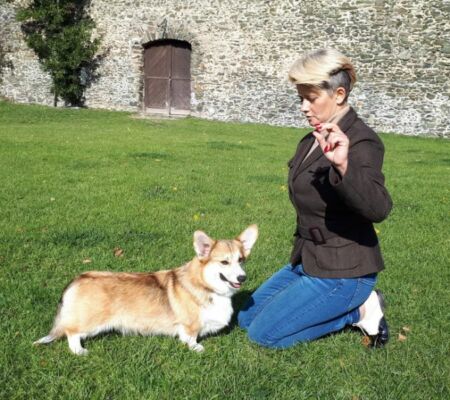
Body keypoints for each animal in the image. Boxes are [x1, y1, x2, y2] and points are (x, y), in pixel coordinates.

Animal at [33, 225, 258, 355]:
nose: (242, 277)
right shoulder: (189, 327)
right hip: (92, 322)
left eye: (241, 260)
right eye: (224, 262)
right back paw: (79, 351)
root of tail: (78, 279)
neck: (206, 285)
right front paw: (197, 348)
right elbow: (191, 338)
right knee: (71, 332)